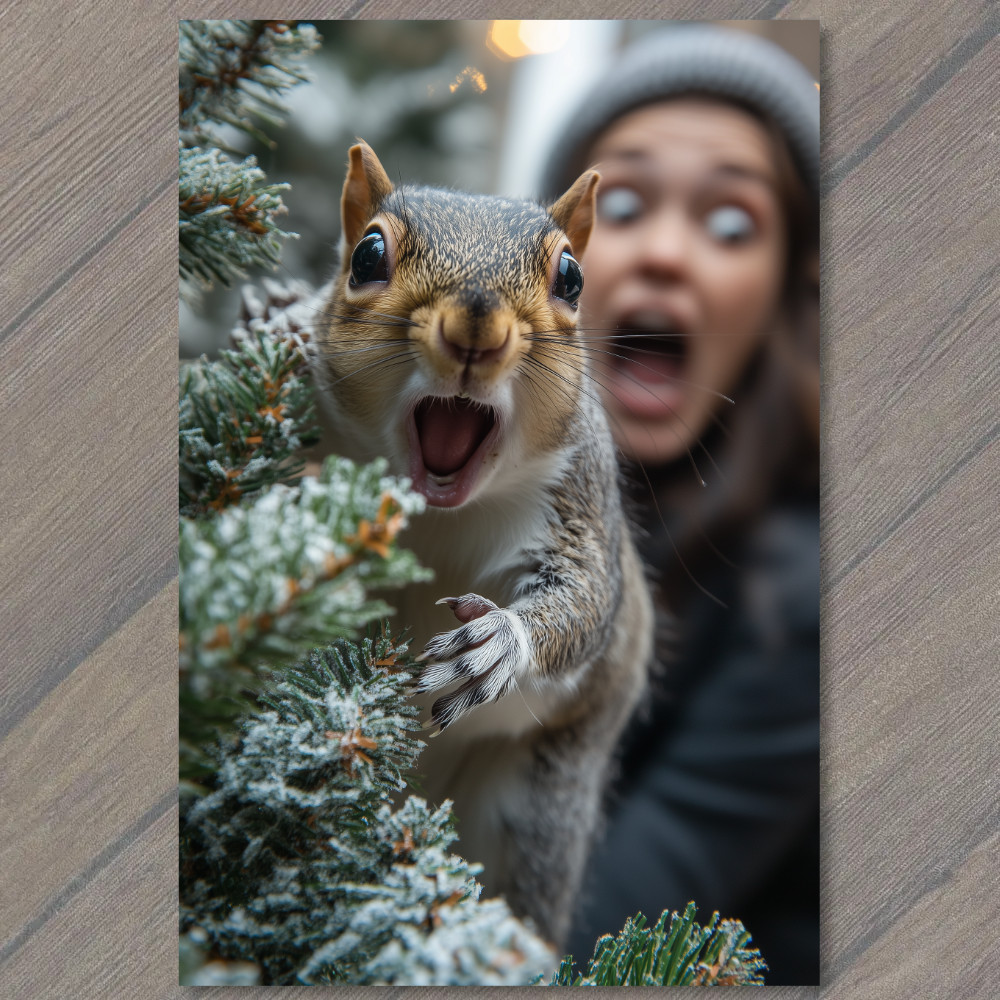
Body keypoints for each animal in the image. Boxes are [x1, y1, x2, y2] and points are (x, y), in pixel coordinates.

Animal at [311, 141, 654, 950]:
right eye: (366, 254)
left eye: (572, 278)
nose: (477, 327)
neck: (436, 514)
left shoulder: (578, 503)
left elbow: (585, 602)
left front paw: (500, 642)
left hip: (535, 805)